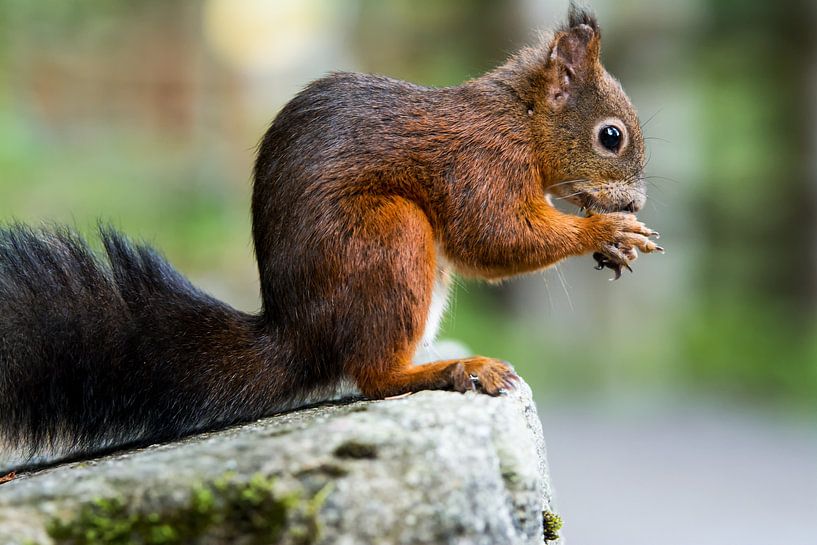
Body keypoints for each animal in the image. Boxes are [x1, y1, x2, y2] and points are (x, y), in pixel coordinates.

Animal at [0, 6, 661, 465]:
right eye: (611, 136)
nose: (635, 201)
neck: (520, 120)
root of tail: (298, 334)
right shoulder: (480, 165)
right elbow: (494, 238)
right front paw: (606, 228)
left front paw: (616, 240)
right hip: (389, 235)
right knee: (371, 377)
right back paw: (450, 369)